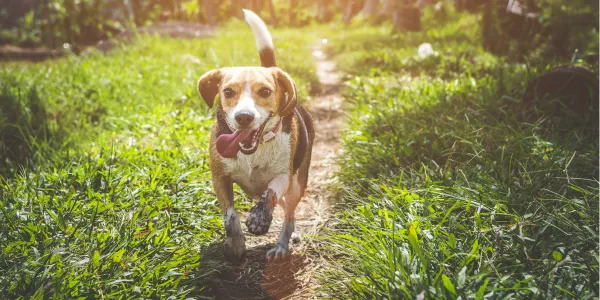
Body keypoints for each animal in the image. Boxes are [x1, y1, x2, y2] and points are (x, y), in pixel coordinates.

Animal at [197, 9, 316, 262]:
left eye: (265, 91)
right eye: (227, 91)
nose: (244, 117)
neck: (254, 150)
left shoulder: (284, 176)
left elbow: (270, 193)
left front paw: (259, 218)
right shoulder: (219, 178)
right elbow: (230, 215)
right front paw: (235, 243)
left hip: (297, 184)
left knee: (288, 215)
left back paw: (281, 245)